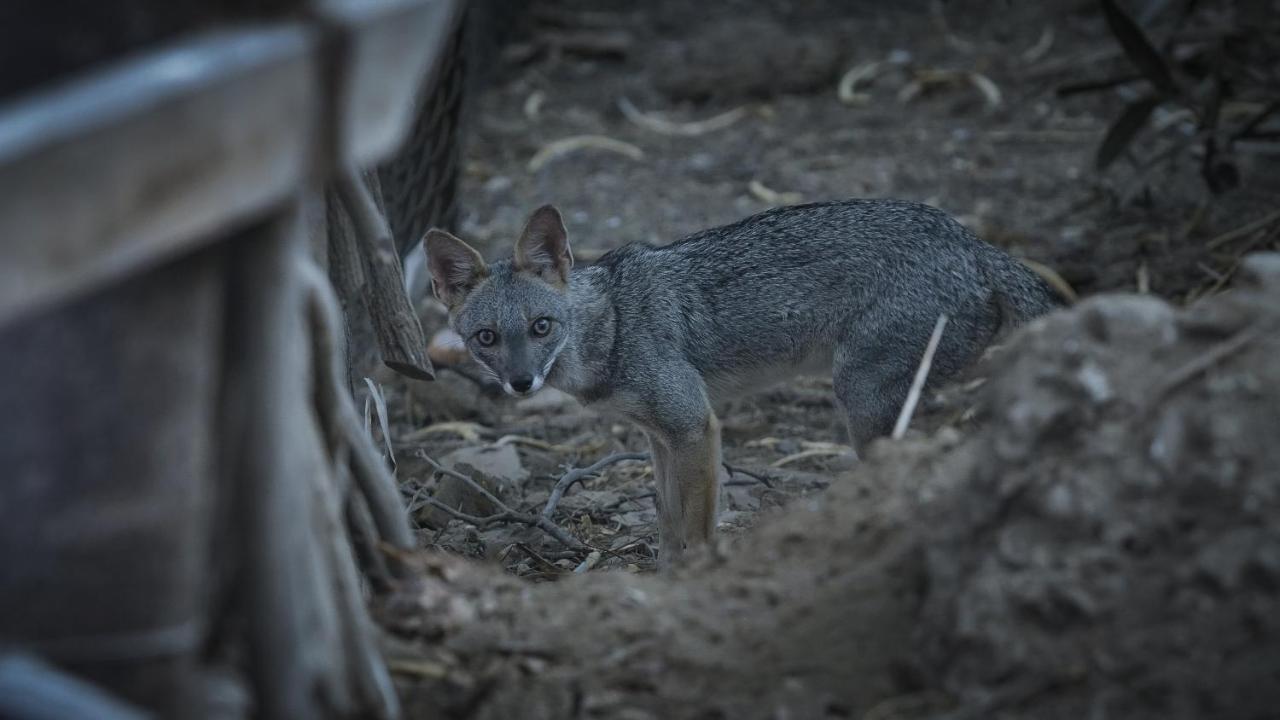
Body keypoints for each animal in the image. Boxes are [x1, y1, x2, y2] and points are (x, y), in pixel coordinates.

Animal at [422, 197, 1059, 566]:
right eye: (486, 338)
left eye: (541, 326)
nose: (521, 382)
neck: (613, 325)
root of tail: (969, 241)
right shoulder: (659, 436)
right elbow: (667, 524)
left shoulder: (695, 427)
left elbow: (697, 531)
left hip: (859, 398)